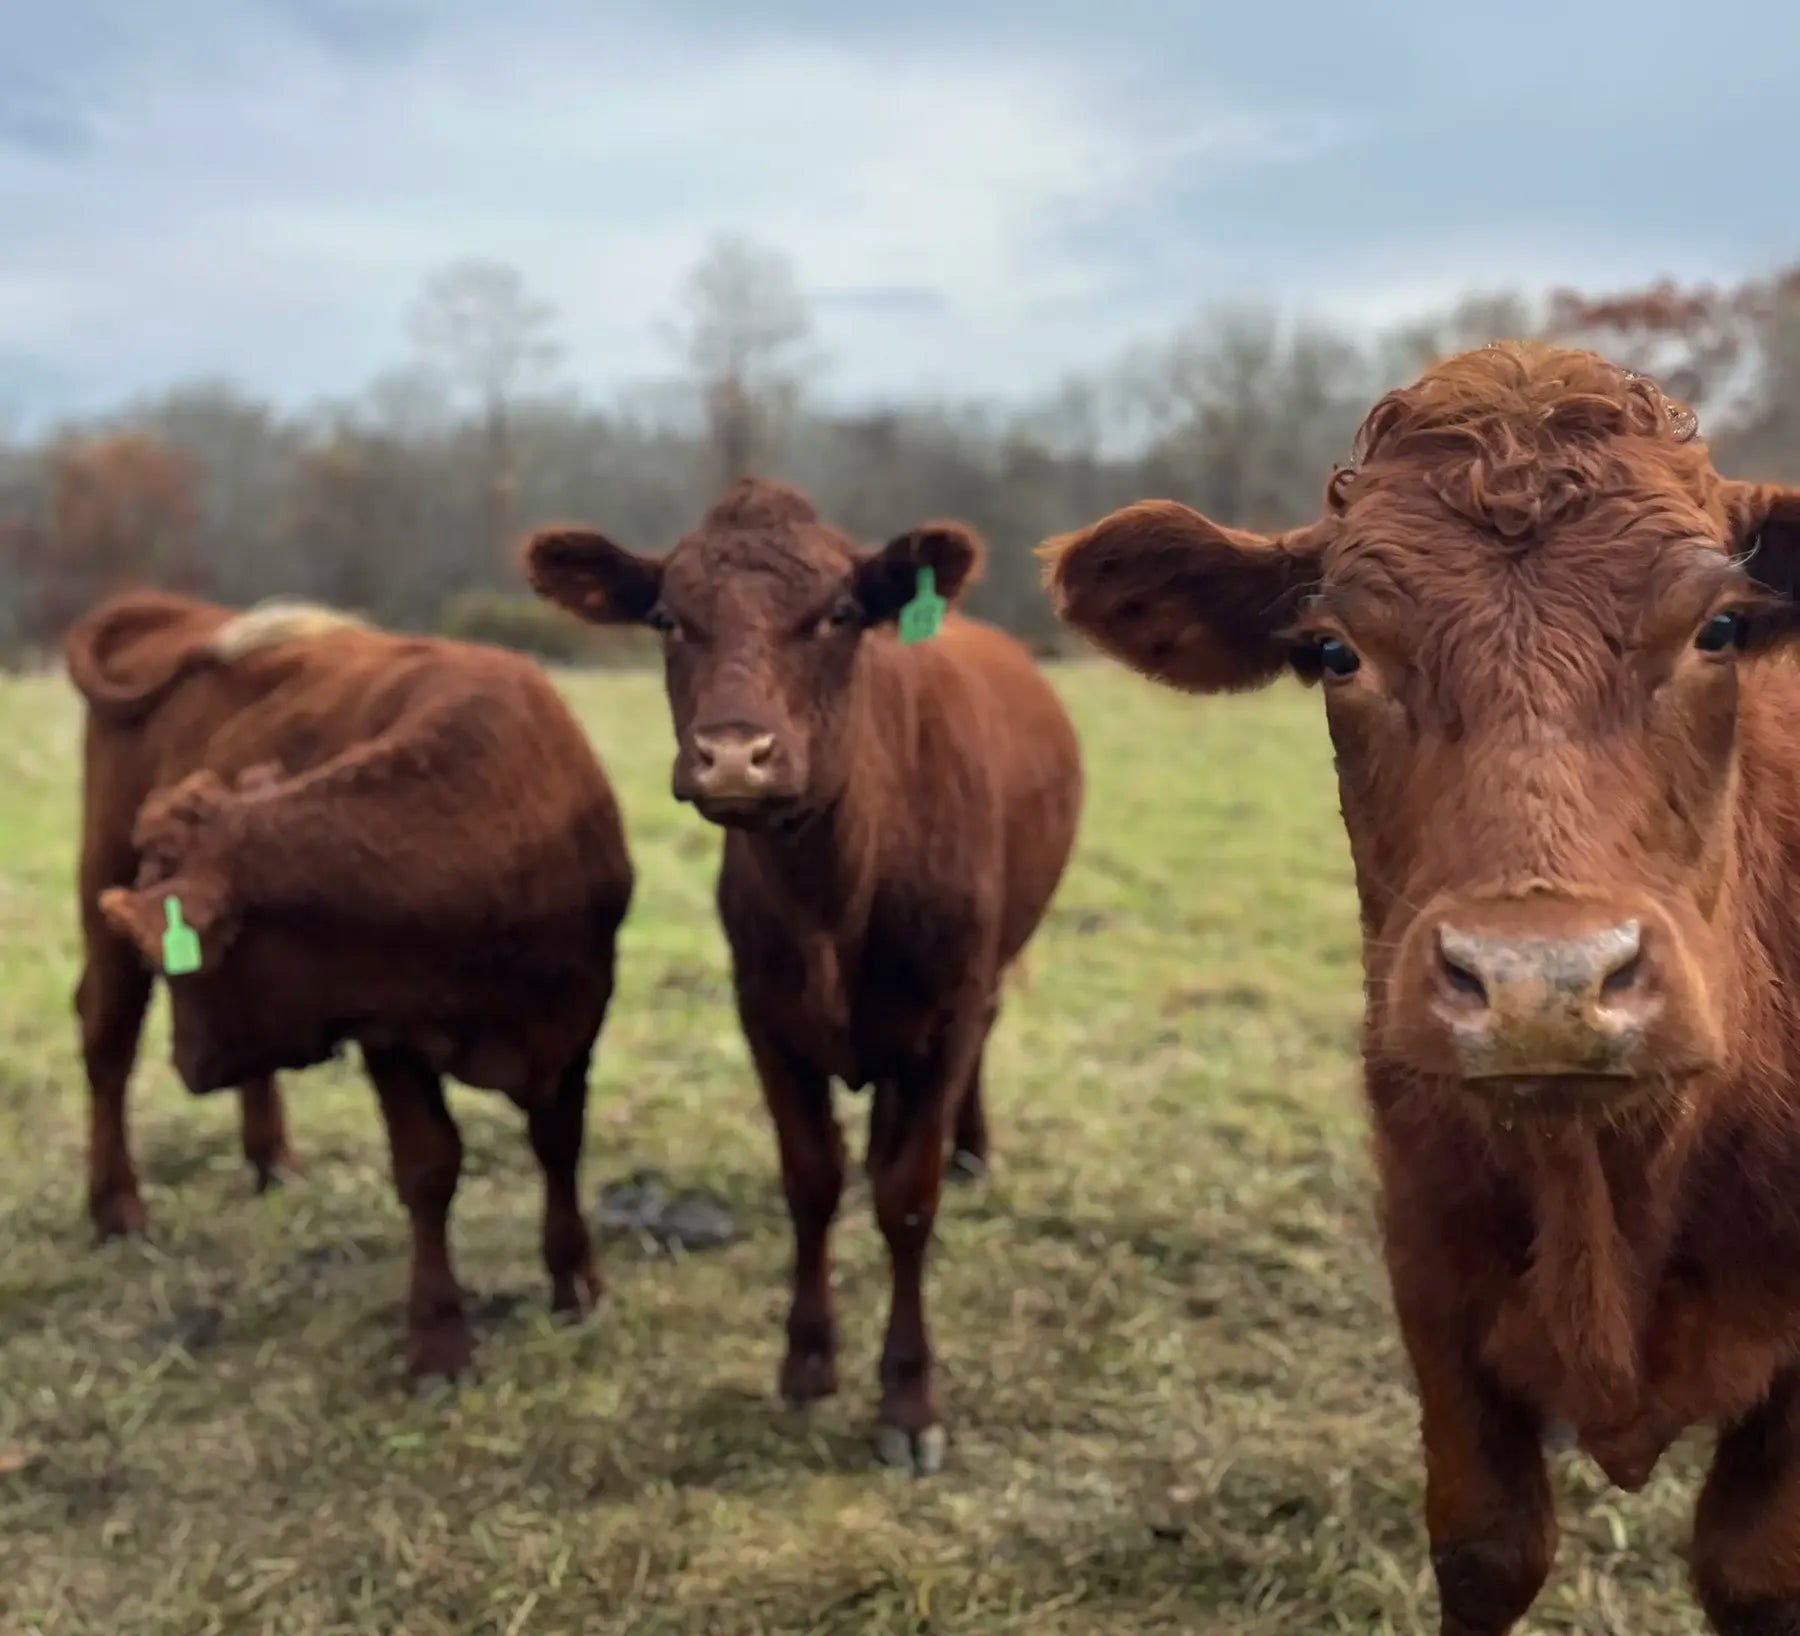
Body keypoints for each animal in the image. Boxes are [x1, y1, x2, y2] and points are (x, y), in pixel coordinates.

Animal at [66, 590, 634, 1380]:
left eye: (200, 964)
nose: (188, 1060)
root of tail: (178, 613)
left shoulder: (577, 1019)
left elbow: (558, 1143)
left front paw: (577, 1283)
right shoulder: (389, 1035)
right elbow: (429, 1166)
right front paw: (438, 1339)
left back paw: (272, 1161)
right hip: (100, 891)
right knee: (107, 1042)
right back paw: (117, 1208)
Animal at [523, 478, 1083, 1471]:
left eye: (840, 613)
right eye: (667, 616)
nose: (734, 755)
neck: (834, 894)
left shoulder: (943, 1016)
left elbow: (907, 1198)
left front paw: (908, 1398)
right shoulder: (766, 1017)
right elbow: (812, 1182)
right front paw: (808, 1361)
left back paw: (974, 1149)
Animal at [1044, 341, 1800, 1634]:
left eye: (1721, 627)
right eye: (1335, 652)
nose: (1540, 980)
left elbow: (1753, 1568)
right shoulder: (1429, 1269)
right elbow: (1487, 1546)